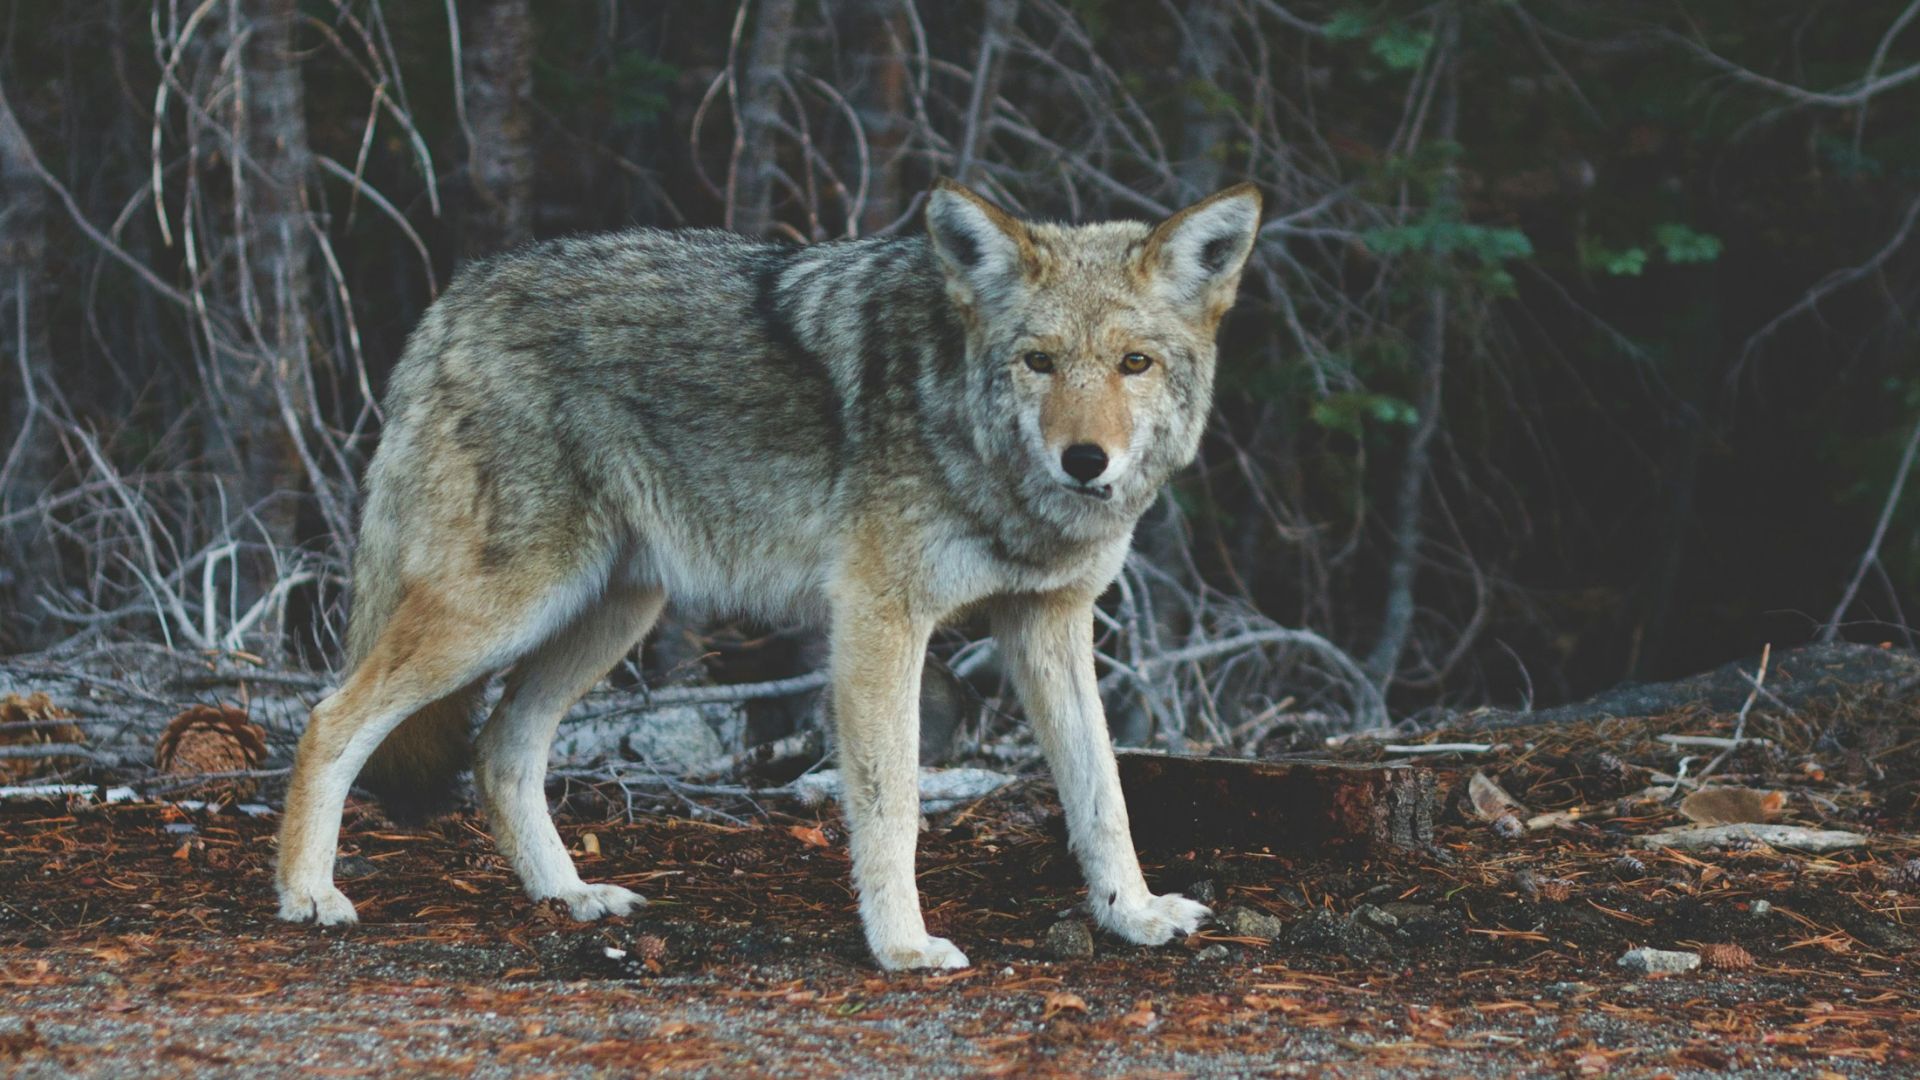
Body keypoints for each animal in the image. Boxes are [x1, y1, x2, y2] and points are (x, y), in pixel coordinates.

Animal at [274, 178, 1263, 970]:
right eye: (1040, 362)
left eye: (1134, 363)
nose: (1085, 461)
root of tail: (457, 295)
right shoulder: (879, 620)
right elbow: (893, 802)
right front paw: (903, 948)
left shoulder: (1048, 622)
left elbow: (1103, 793)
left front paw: (1134, 914)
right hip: (506, 609)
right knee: (330, 718)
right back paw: (308, 895)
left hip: (610, 614)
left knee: (499, 749)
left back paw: (571, 897)